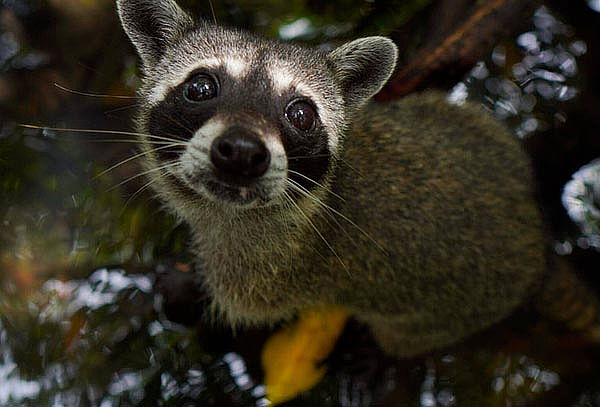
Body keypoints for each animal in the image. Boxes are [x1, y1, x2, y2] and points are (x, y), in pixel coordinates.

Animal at [115, 0, 548, 356]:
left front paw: (185, 294)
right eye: (201, 87)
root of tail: (528, 214)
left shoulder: (261, 280)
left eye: (301, 114)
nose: (241, 151)